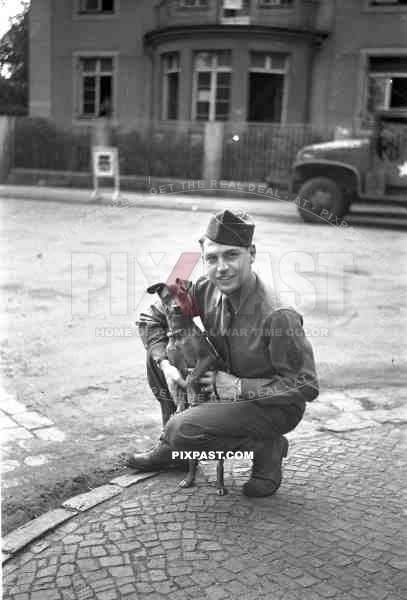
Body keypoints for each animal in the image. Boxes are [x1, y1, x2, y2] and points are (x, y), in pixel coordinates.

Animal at [147, 278, 230, 494]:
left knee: (219, 465)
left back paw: (220, 485)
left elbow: (192, 378)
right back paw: (189, 479)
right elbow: (180, 389)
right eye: (167, 296)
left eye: (183, 294)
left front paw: (192, 399)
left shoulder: (206, 359)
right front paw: (181, 407)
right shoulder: (176, 368)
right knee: (192, 461)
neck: (180, 335)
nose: (176, 307)